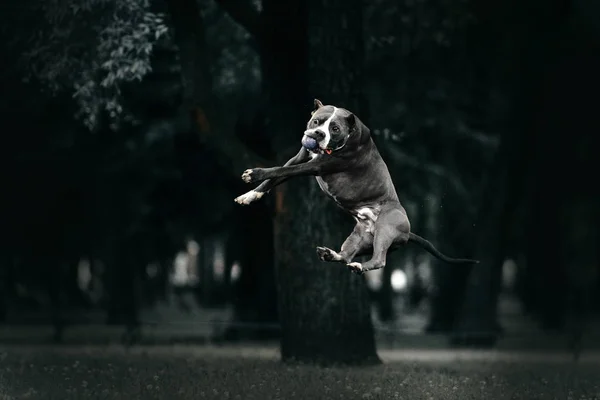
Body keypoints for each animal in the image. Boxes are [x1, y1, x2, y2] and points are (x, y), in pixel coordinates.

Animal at [234, 100, 478, 276]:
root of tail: (408, 231)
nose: (319, 134)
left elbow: (276, 170)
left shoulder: (316, 165)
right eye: (316, 121)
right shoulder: (300, 157)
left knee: (379, 260)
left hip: (385, 230)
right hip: (358, 238)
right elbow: (277, 176)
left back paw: (359, 267)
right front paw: (250, 195)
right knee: (347, 256)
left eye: (334, 128)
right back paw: (331, 255)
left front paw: (254, 173)